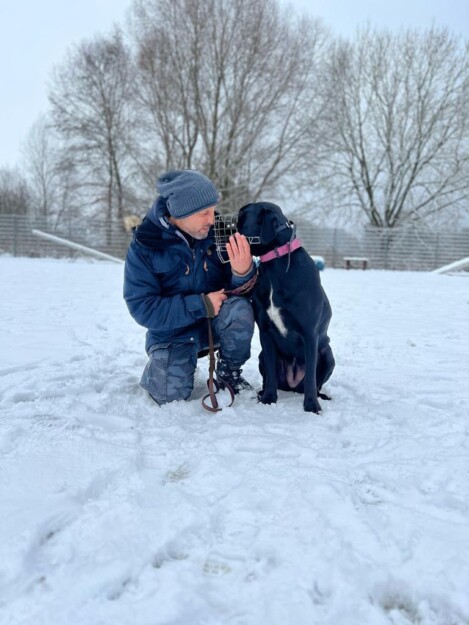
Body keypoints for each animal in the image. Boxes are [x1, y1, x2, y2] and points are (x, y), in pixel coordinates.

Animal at [238, 201, 332, 414]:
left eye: (241, 217)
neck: (276, 266)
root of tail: (292, 385)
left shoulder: (309, 333)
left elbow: (311, 377)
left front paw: (312, 406)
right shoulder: (265, 332)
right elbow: (271, 371)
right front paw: (268, 399)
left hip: (328, 353)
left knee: (315, 382)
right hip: (261, 356)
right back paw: (261, 392)